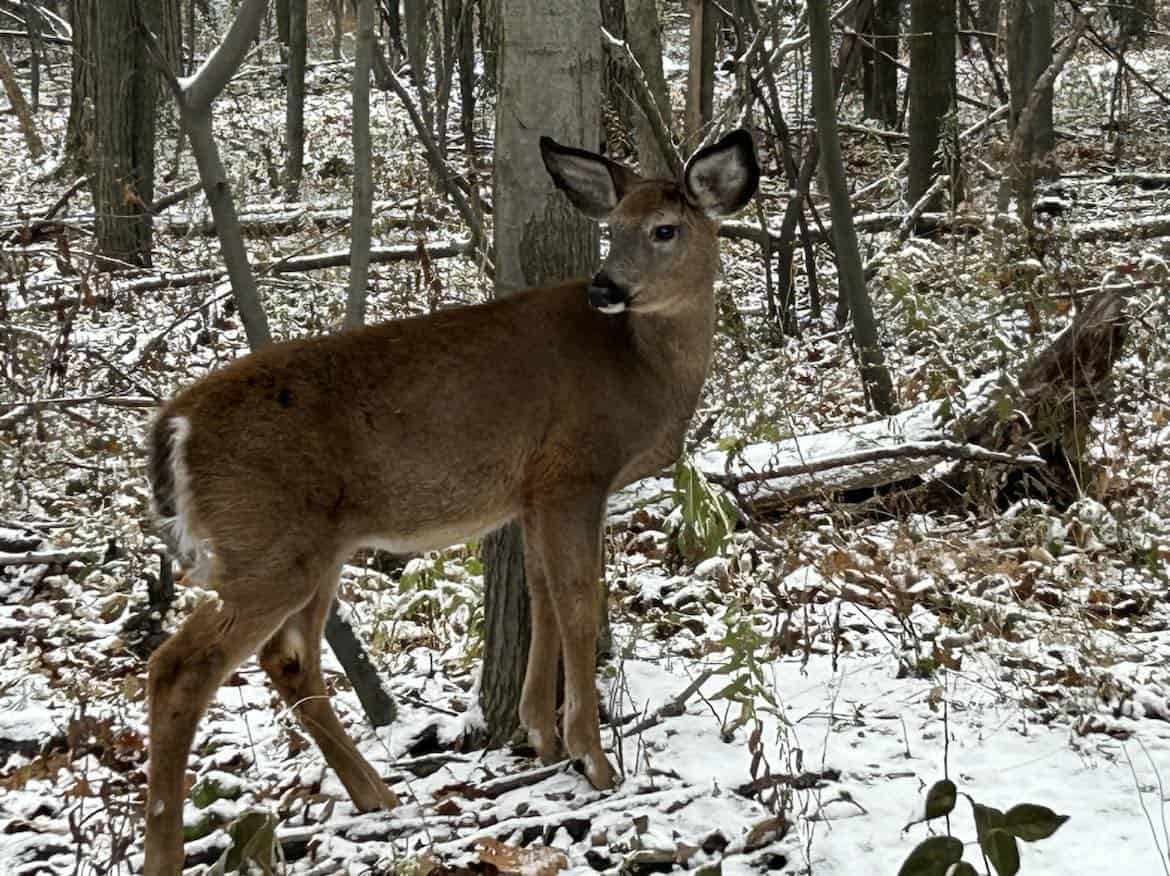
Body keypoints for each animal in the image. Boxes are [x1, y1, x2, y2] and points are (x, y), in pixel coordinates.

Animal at [141, 128, 758, 870]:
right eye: (612, 228)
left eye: (664, 229)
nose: (605, 286)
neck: (642, 368)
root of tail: (173, 427)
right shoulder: (574, 470)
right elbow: (580, 597)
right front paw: (593, 759)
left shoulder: (532, 491)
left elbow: (540, 591)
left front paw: (539, 736)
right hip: (266, 544)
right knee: (179, 667)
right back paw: (166, 850)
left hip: (313, 548)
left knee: (288, 659)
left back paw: (377, 794)